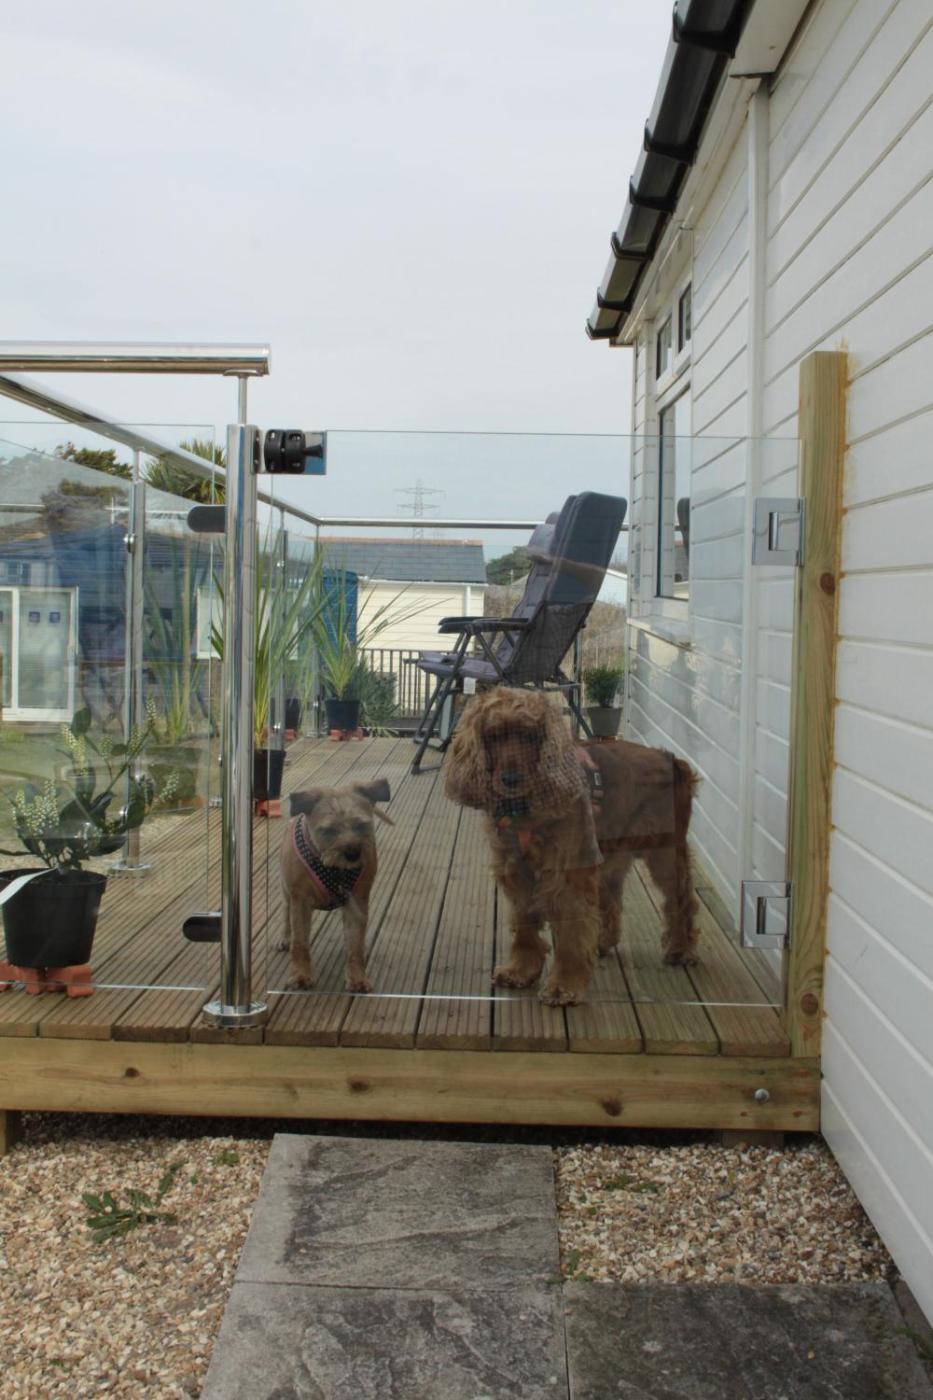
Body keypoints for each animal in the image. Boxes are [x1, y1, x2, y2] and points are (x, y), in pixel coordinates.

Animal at [278, 779, 392, 993]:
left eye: (361, 825)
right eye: (329, 830)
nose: (353, 854)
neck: (334, 869)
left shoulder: (357, 902)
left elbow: (355, 944)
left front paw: (357, 978)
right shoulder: (300, 901)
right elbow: (300, 942)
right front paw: (301, 975)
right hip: (287, 891)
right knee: (286, 915)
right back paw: (285, 938)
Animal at [444, 687, 699, 1005]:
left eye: (530, 736)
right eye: (493, 736)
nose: (511, 779)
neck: (526, 808)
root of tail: (672, 759)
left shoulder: (568, 871)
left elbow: (571, 933)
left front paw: (563, 985)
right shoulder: (517, 871)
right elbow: (524, 927)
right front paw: (520, 971)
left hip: (664, 854)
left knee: (681, 900)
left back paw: (681, 949)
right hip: (610, 851)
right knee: (613, 900)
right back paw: (603, 942)